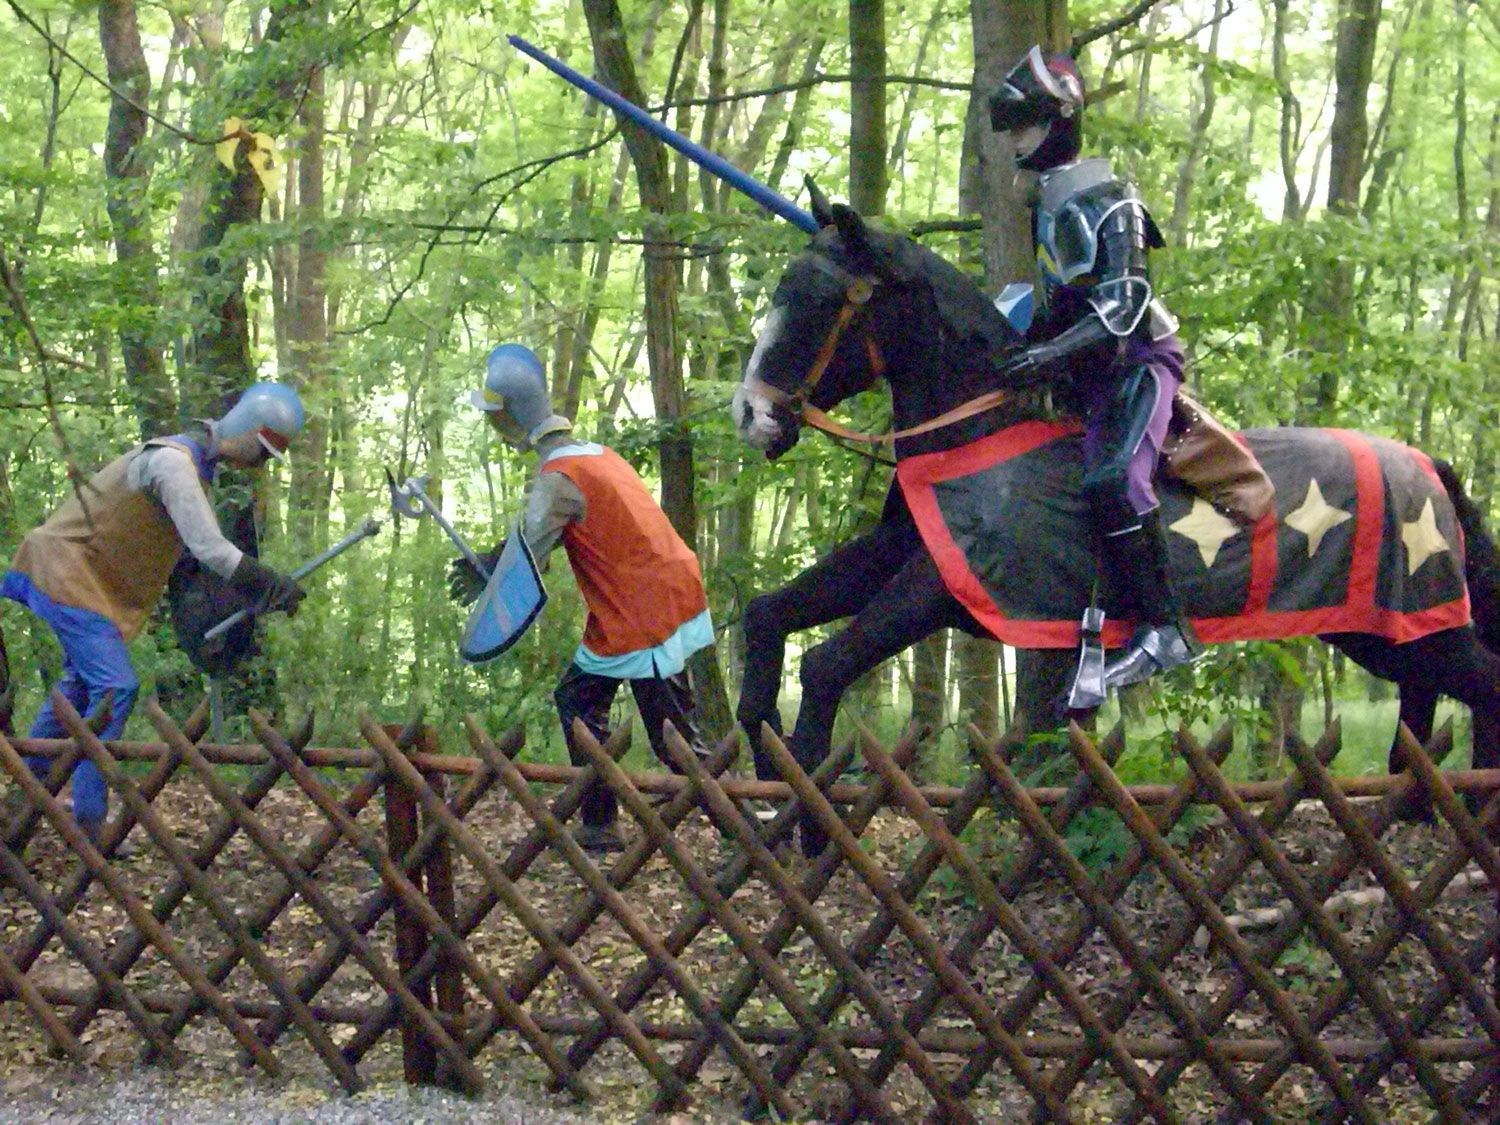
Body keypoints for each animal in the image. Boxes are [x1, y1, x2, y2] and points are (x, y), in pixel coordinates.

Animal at [730, 199, 1500, 842]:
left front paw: (807, 815)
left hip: (1420, 628)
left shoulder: (937, 589)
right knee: (1423, 703)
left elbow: (826, 663)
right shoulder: (898, 554)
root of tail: (1429, 464)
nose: (752, 414)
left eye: (820, 301)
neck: (977, 432)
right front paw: (761, 756)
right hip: (1391, 634)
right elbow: (769, 614)